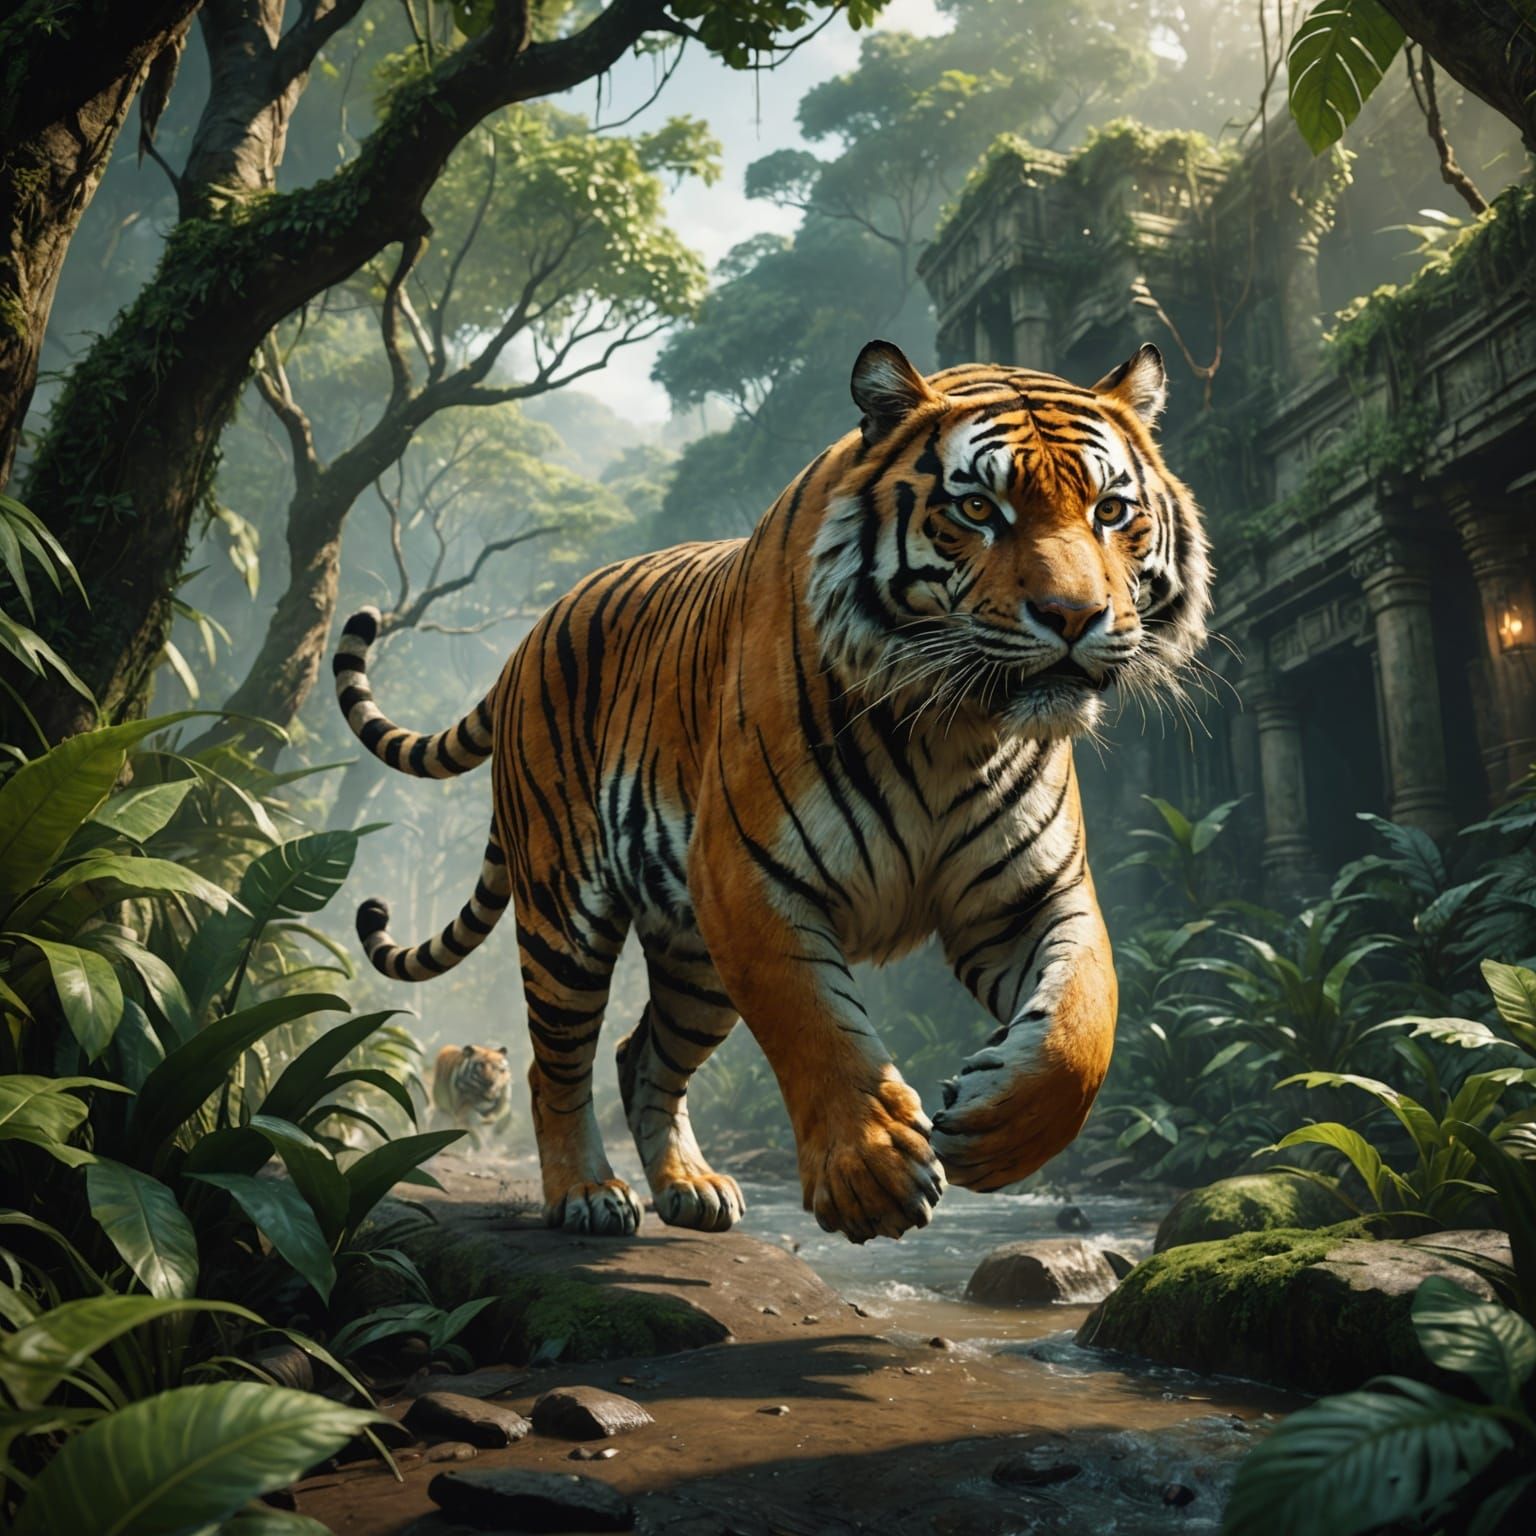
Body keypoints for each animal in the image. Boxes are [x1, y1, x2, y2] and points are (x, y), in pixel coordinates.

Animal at [333, 339, 1209, 1244]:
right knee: (557, 1062)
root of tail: (525, 642)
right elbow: (812, 1024)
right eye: (977, 509)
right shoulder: (749, 881)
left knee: (642, 1056)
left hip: (693, 963)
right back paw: (587, 1194)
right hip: (564, 911)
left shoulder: (1031, 895)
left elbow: (1082, 1024)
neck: (953, 730)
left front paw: (995, 1125)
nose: (1074, 616)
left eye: (1111, 510)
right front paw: (871, 1174)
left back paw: (691, 1186)